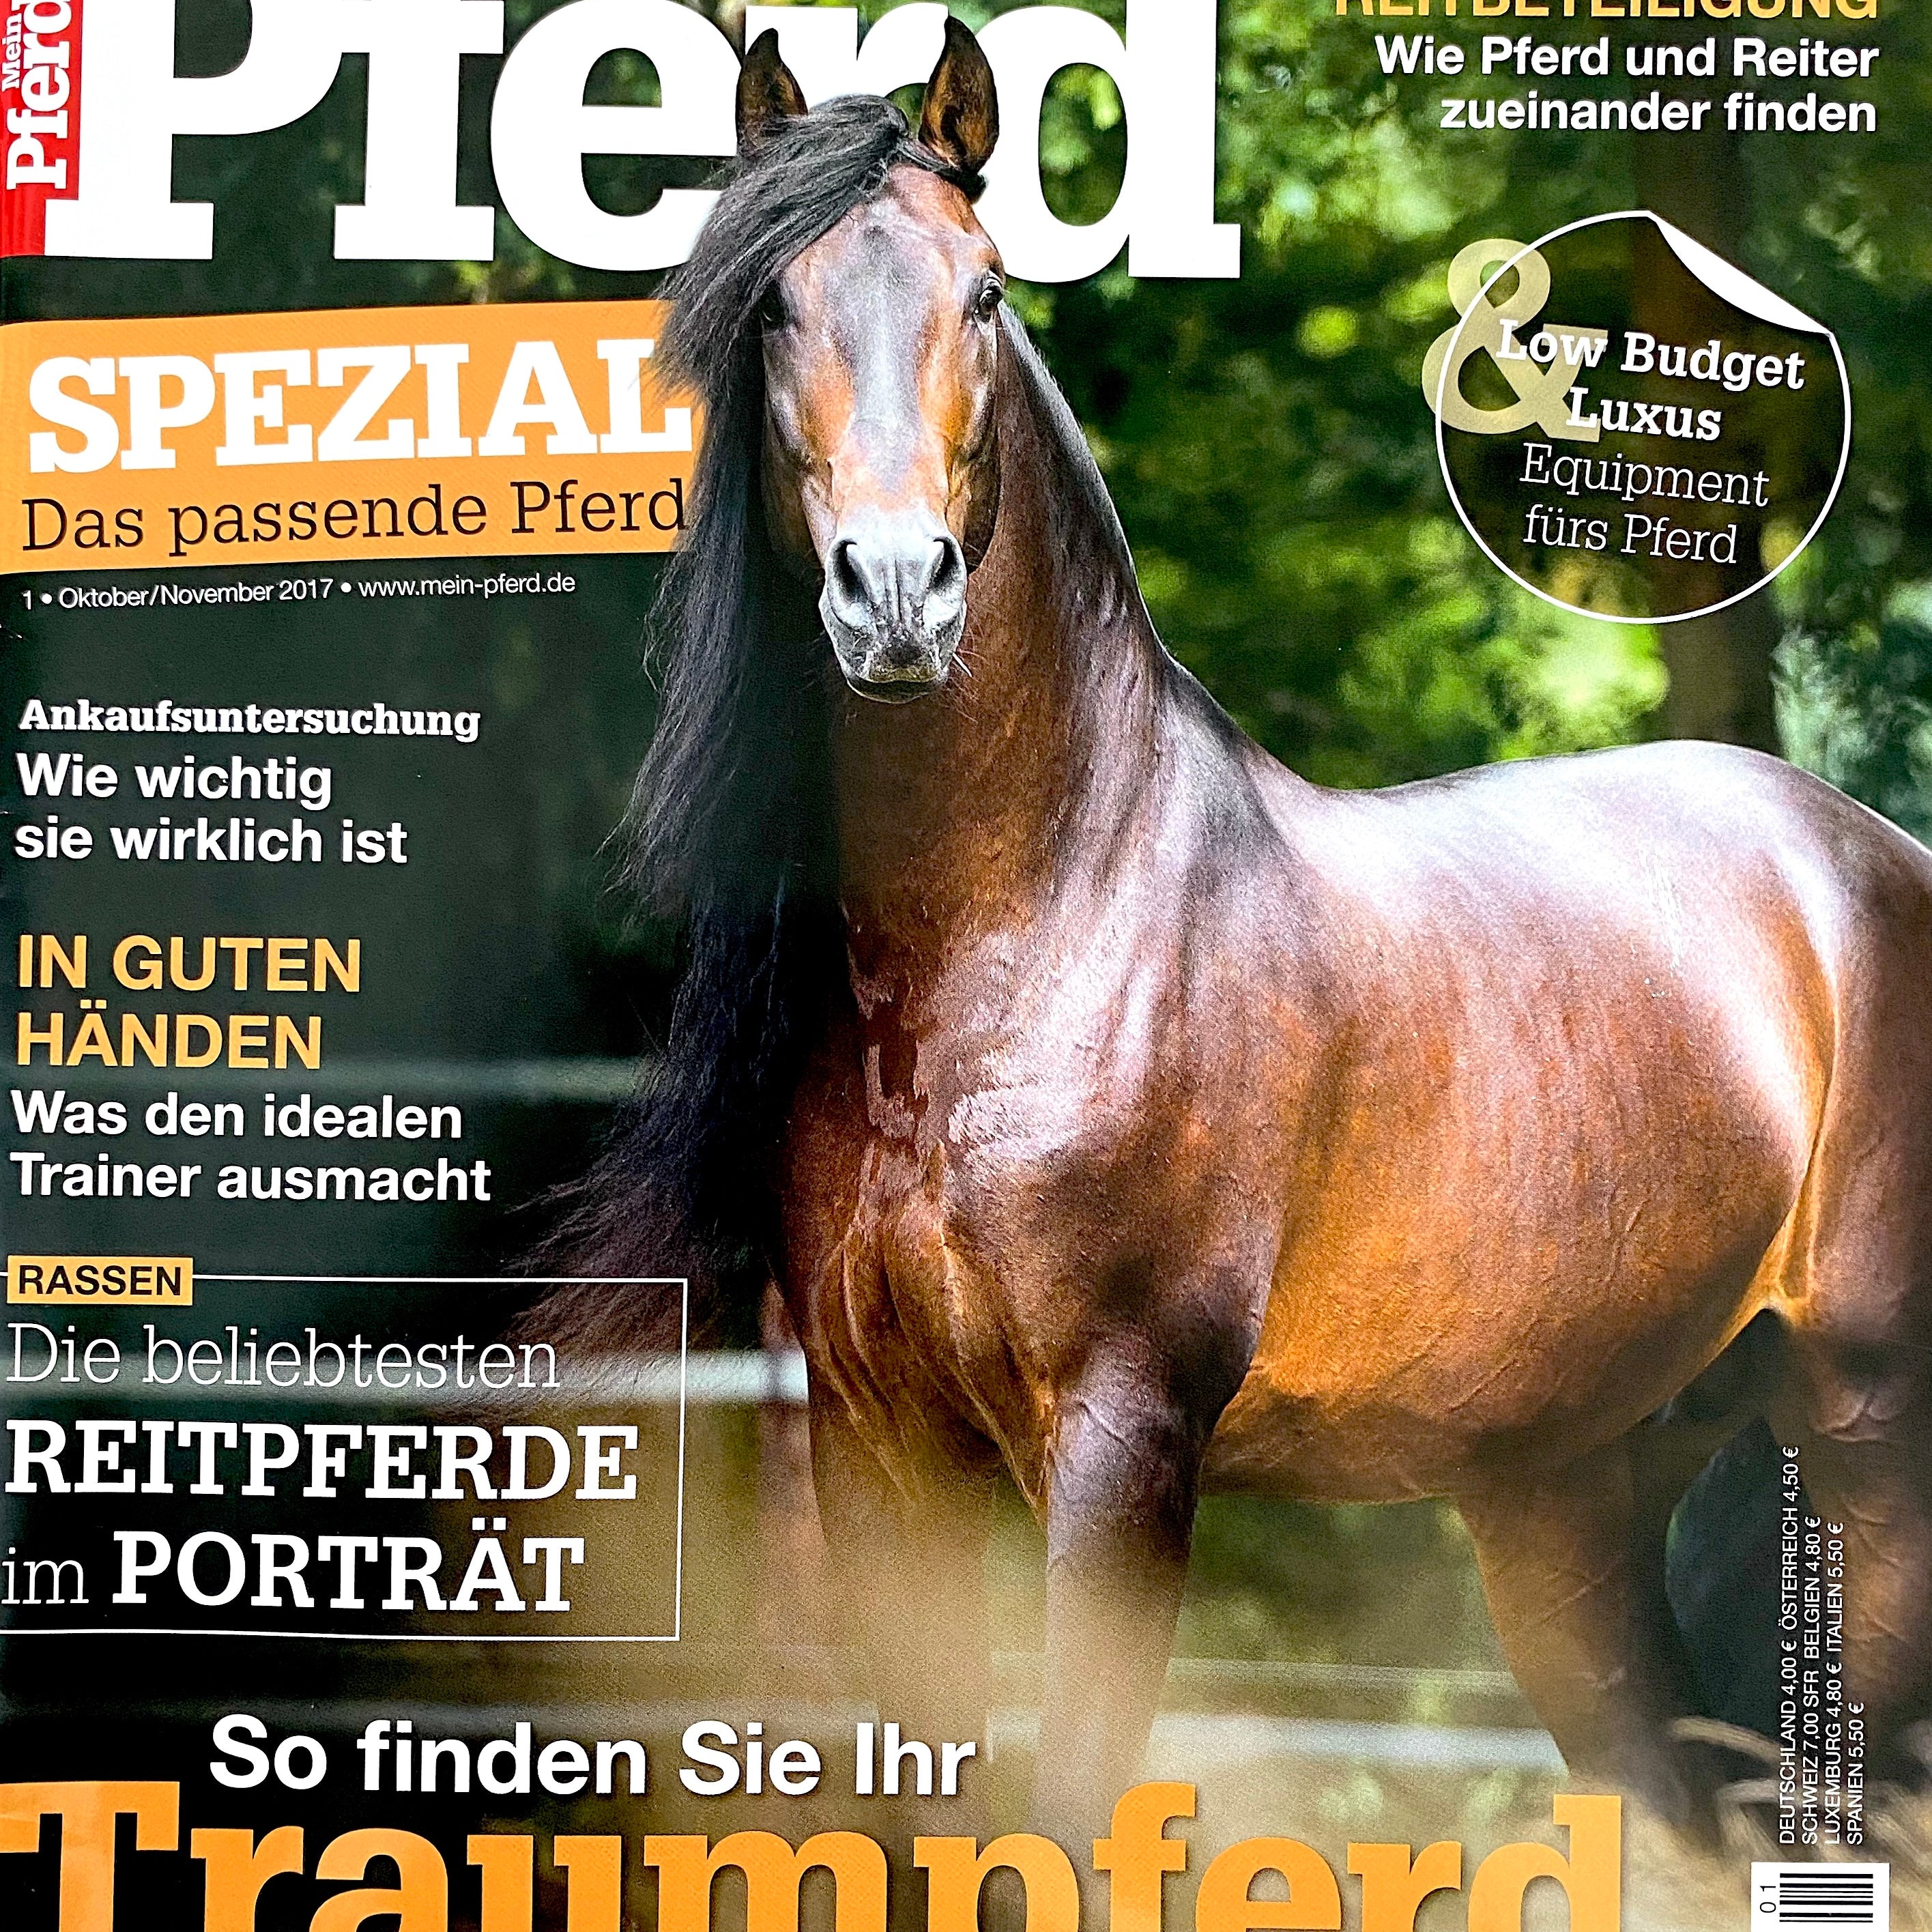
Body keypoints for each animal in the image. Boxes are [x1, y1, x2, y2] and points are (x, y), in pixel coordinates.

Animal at [537, 19, 1932, 1850]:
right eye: (772, 302)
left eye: (986, 291)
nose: (895, 593)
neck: (1027, 928)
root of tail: (1864, 860)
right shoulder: (878, 1453)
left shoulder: (1125, 1440)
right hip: (1566, 1497)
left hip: (1869, 1457)